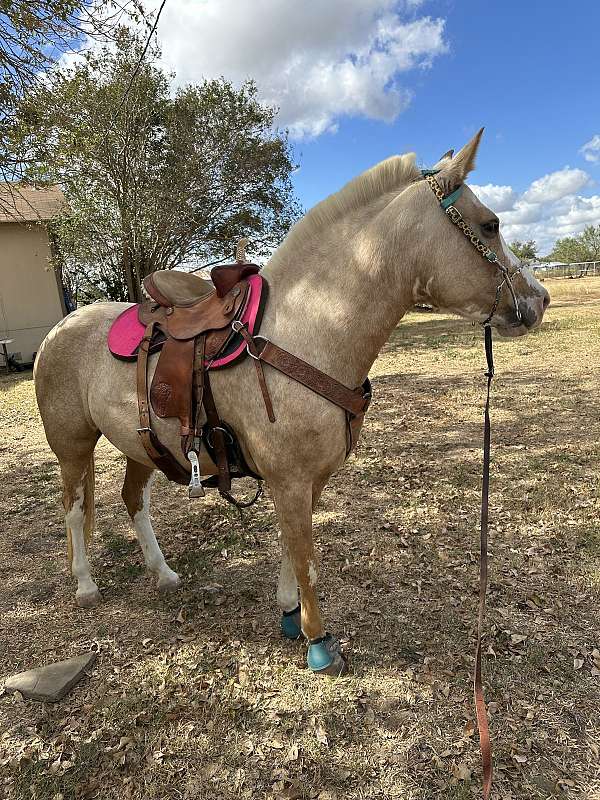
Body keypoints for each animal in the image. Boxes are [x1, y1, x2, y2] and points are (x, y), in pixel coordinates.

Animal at [32, 130, 548, 676]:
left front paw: (287, 614)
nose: (540, 300)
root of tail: (62, 328)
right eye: (490, 224)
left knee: (134, 500)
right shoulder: (291, 480)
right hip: (72, 447)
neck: (307, 331)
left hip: (144, 446)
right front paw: (318, 642)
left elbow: (290, 549)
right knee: (72, 509)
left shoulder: (305, 481)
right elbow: (307, 559)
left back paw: (164, 573)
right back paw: (85, 585)